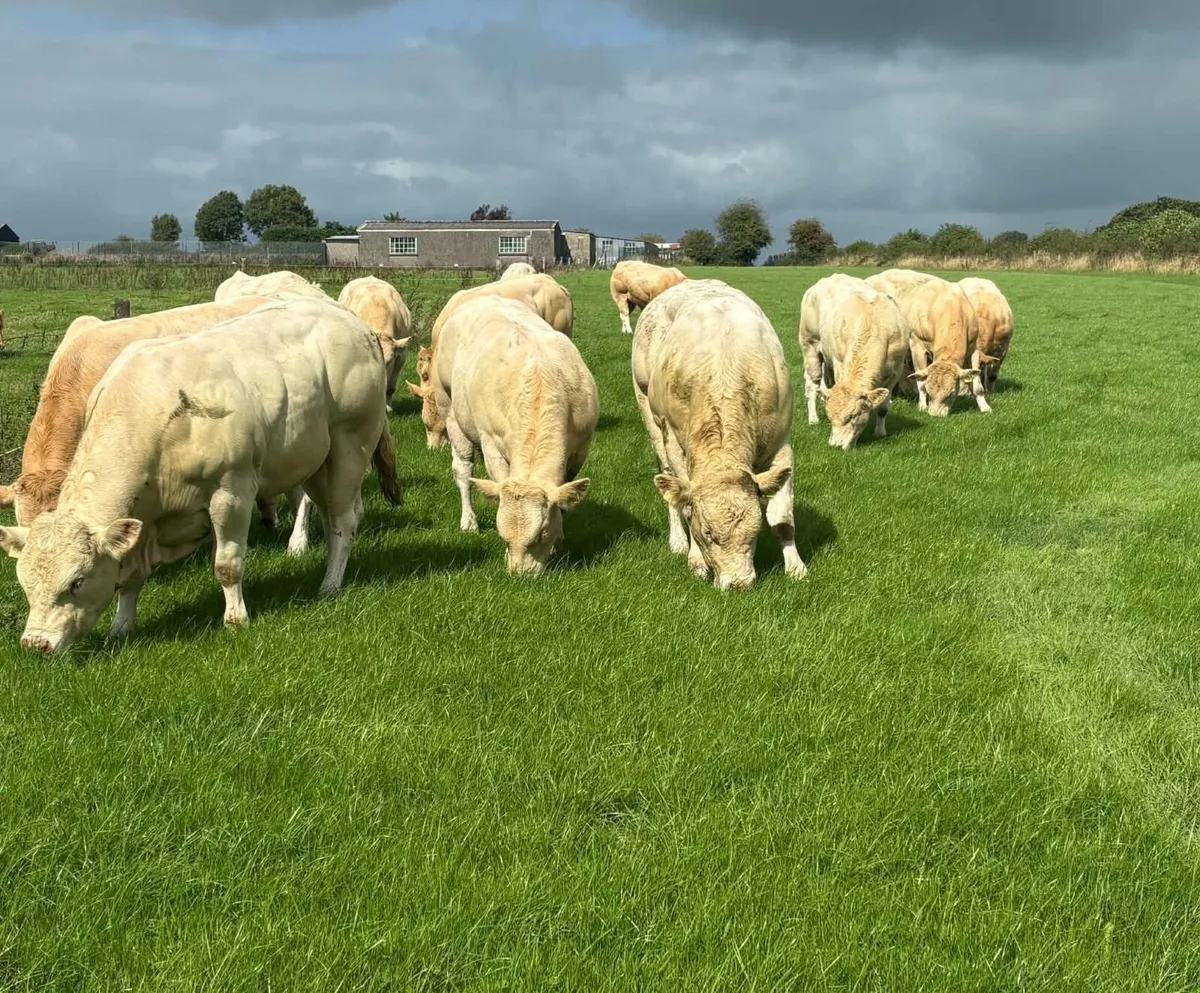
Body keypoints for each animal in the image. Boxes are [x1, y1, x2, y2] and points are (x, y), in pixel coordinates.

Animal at [437, 297, 597, 574]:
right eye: (503, 536)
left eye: (541, 534)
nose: (520, 574)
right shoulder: (491, 442)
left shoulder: (580, 447)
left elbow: (565, 493)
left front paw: (560, 540)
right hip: (450, 408)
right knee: (463, 469)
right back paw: (468, 520)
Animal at [633, 279, 806, 590]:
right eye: (706, 533)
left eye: (755, 532)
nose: (739, 584)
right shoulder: (675, 442)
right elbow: (685, 502)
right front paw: (696, 561)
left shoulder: (781, 445)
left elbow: (782, 517)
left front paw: (796, 567)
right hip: (646, 407)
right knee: (667, 480)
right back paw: (677, 541)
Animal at [800, 280, 909, 449]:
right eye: (830, 417)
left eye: (852, 416)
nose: (835, 445)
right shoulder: (839, 363)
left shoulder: (895, 372)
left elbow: (883, 408)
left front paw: (880, 433)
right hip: (809, 344)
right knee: (812, 385)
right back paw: (813, 419)